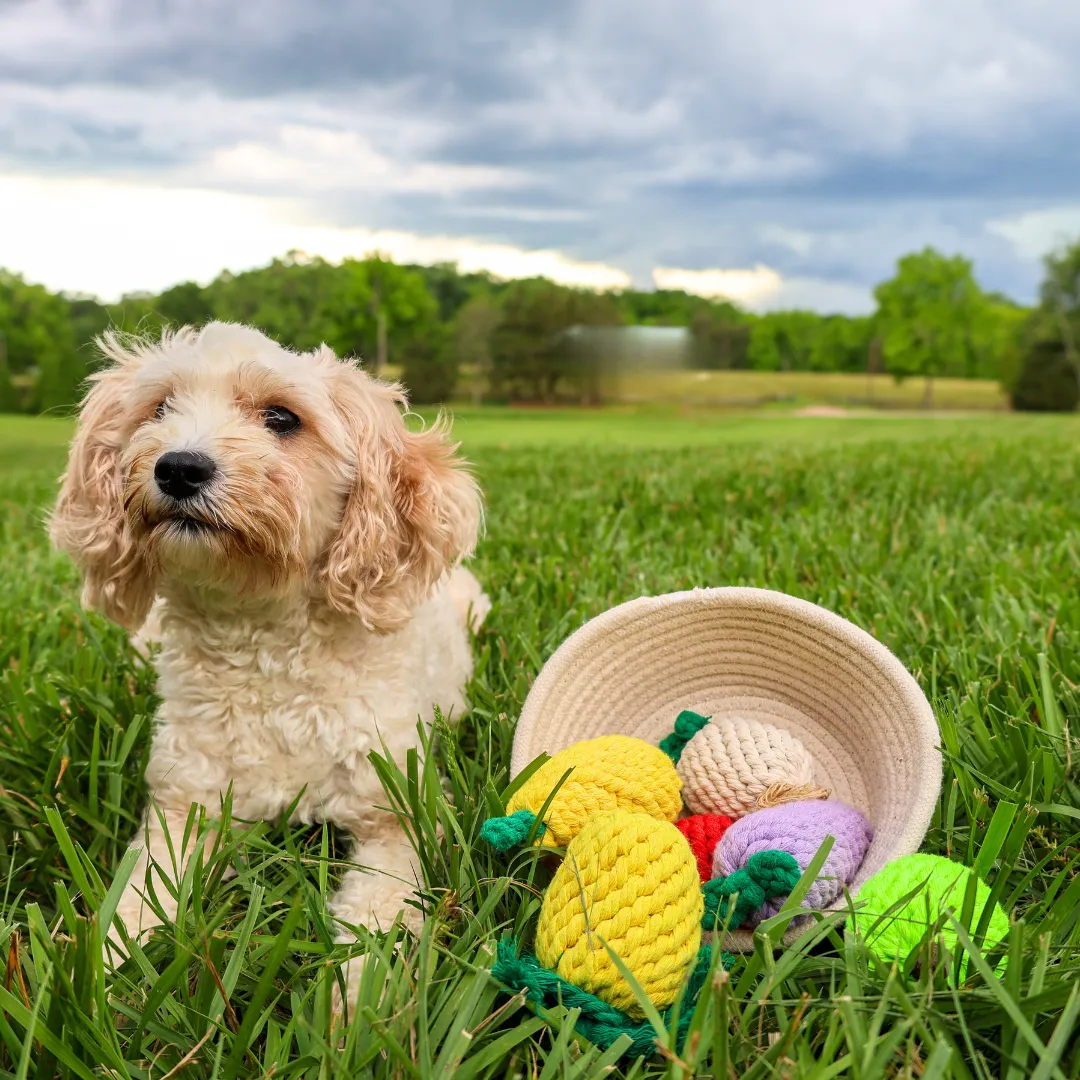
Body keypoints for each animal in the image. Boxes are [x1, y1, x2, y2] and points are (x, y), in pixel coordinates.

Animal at [48, 317, 488, 993]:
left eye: (282, 418)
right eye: (160, 408)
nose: (179, 468)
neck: (264, 647)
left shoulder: (399, 813)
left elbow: (381, 917)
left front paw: (357, 1004)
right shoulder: (185, 807)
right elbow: (136, 899)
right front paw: (93, 979)